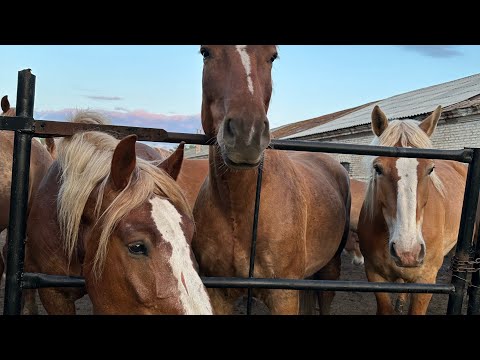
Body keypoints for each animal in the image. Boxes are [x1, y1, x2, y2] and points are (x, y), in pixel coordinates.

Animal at [191, 45, 352, 316]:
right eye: (206, 52)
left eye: (273, 56)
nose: (247, 135)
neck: (240, 208)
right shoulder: (218, 294)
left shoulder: (283, 296)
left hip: (330, 267)